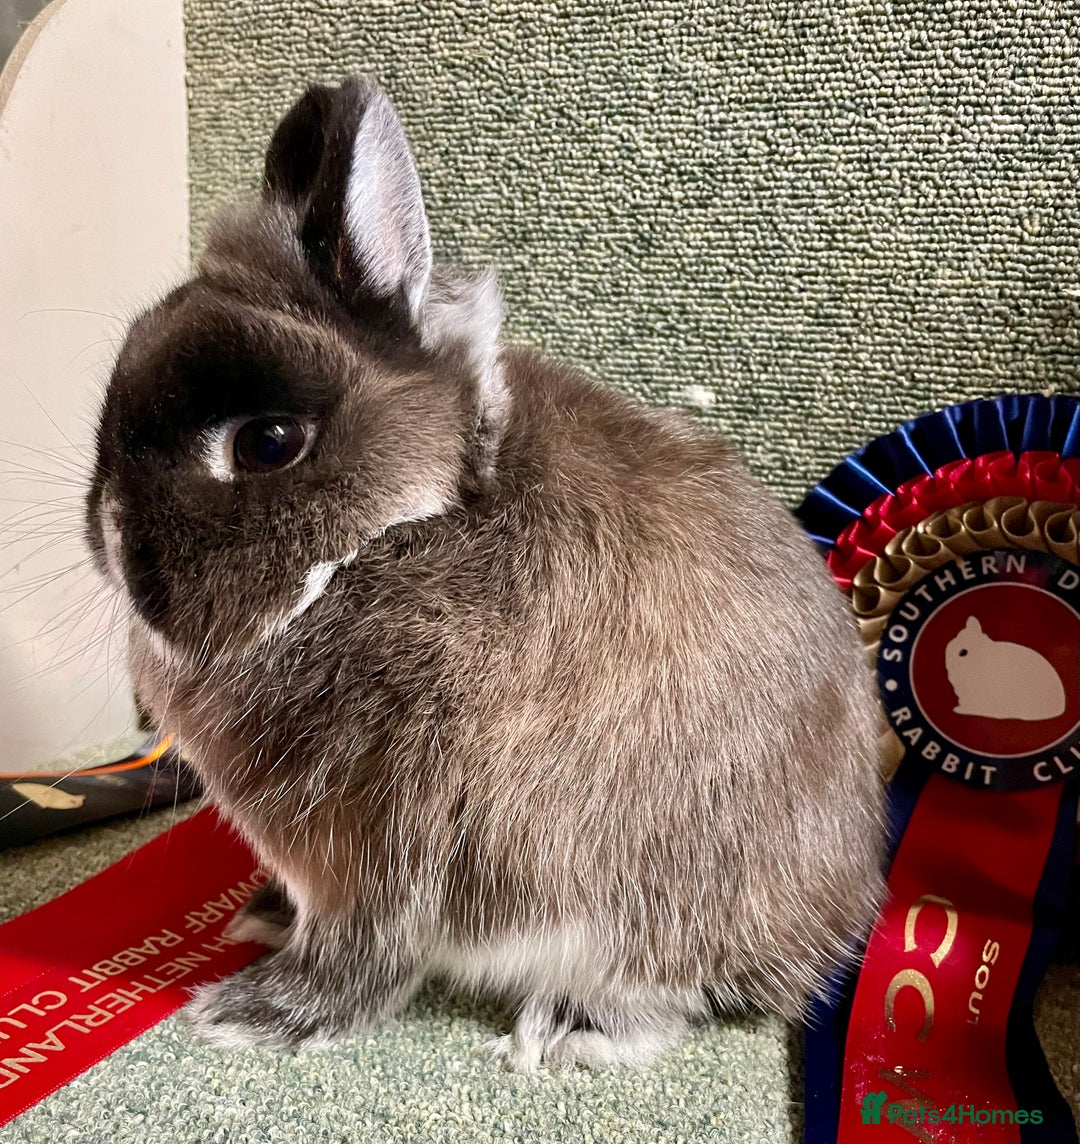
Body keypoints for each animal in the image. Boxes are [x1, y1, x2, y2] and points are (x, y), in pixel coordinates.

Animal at [84, 77, 885, 1070]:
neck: (394, 532)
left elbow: (362, 953)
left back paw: (568, 1027)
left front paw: (256, 1013)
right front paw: (262, 921)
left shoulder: (380, 840)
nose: (109, 536)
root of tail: (837, 917)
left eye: (267, 443)